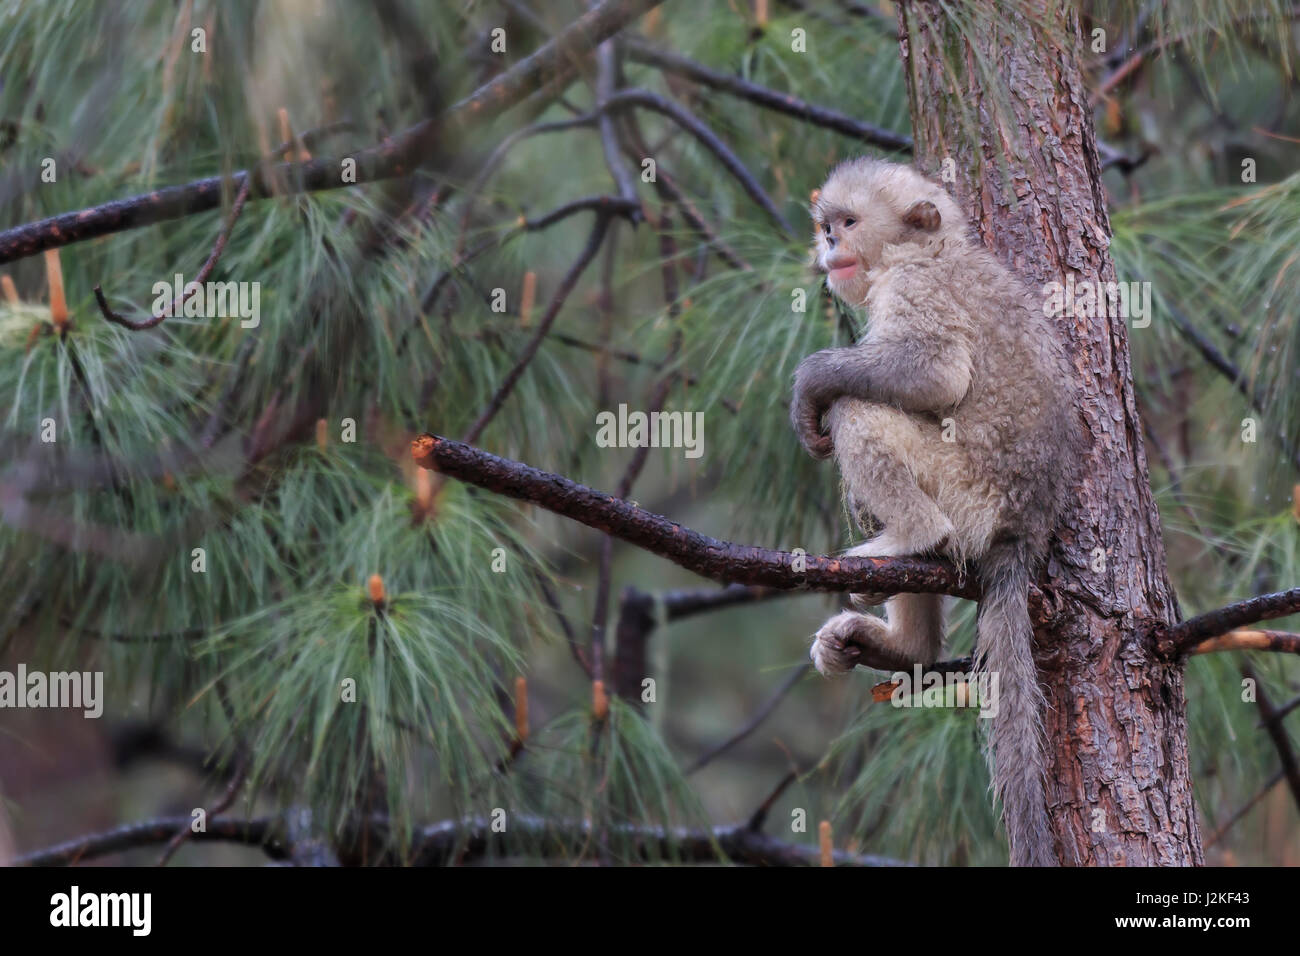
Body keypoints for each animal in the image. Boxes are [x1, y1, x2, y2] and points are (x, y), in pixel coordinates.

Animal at [790, 155, 1086, 868]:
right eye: (827, 224)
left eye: (848, 222)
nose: (828, 243)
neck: (929, 249)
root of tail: (1023, 528)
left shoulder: (917, 288)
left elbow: (935, 372)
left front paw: (813, 383)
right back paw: (906, 645)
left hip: (966, 492)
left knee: (862, 410)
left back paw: (910, 535)